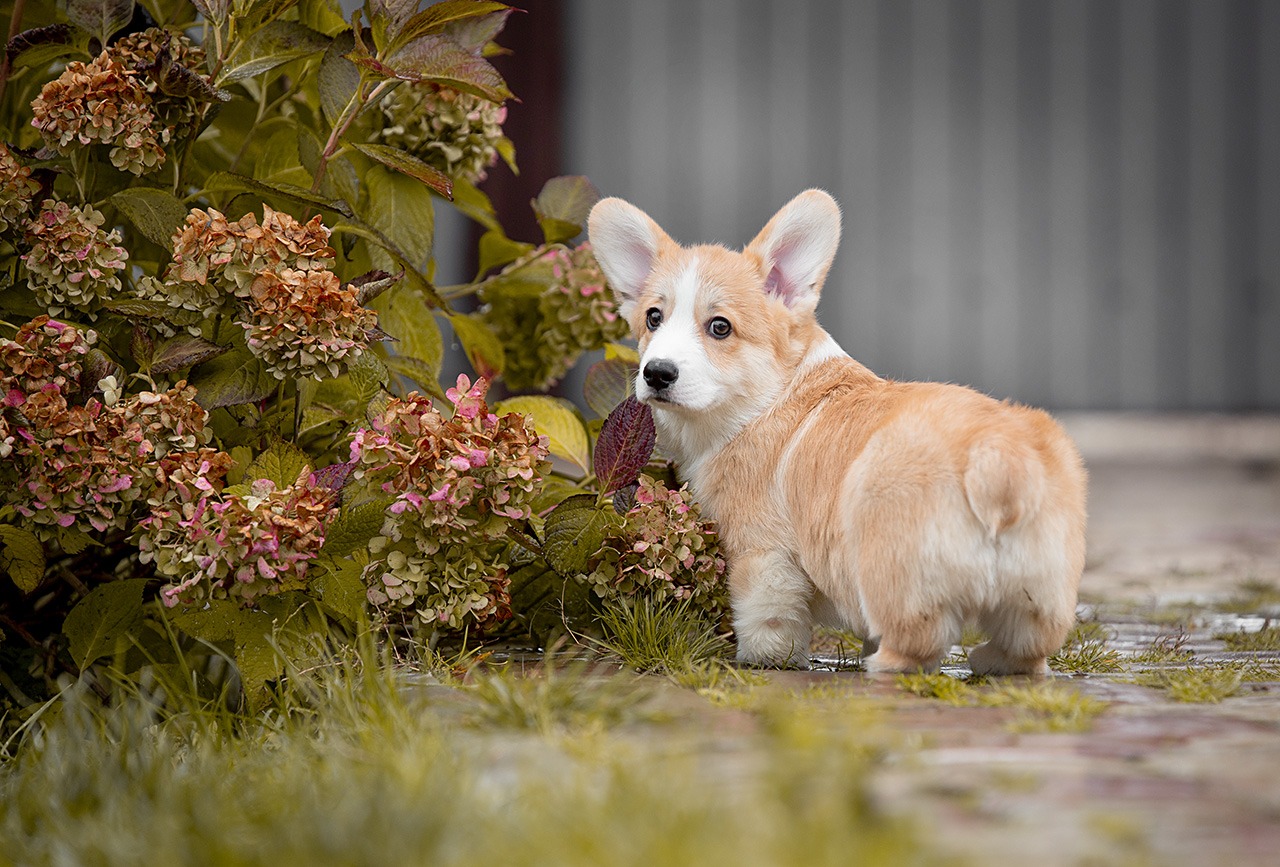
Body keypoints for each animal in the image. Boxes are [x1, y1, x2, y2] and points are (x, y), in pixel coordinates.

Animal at [586, 190, 1085, 676]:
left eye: (720, 327)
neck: (766, 397)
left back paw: (883, 665)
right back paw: (991, 661)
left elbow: (766, 615)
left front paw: (765, 659)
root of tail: (996, 455)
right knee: (1029, 644)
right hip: (1039, 586)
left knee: (918, 641)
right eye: (653, 318)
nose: (656, 373)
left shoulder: (761, 550)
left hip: (894, 570)